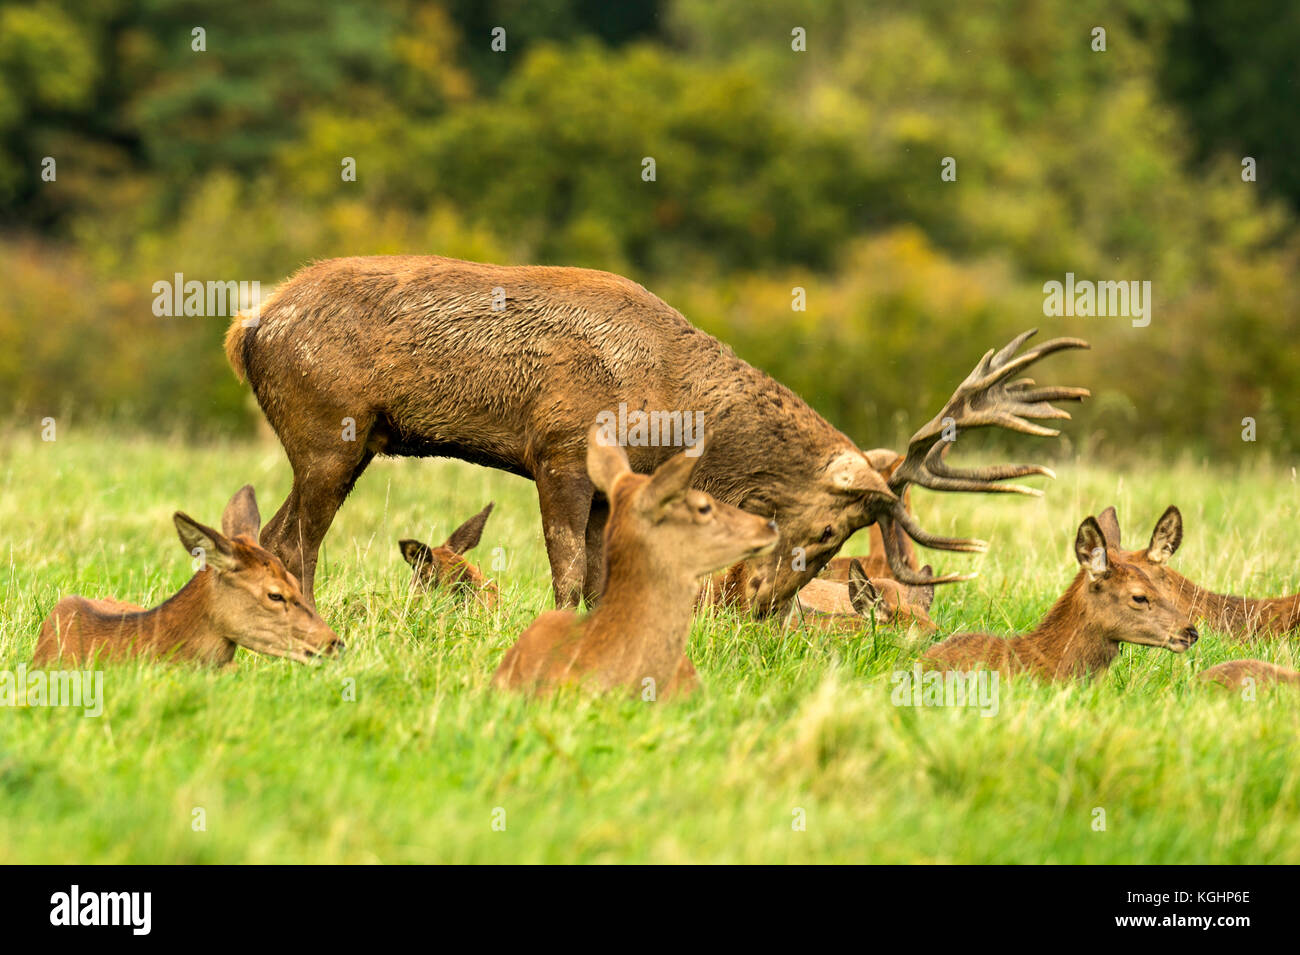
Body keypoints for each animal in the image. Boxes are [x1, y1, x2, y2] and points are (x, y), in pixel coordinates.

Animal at [224, 255, 1088, 615]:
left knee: (276, 533)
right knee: (295, 539)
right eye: (829, 530)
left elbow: (603, 575)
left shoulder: (609, 484)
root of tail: (247, 327)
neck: (663, 407)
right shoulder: (559, 449)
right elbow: (568, 569)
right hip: (329, 431)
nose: (761, 605)